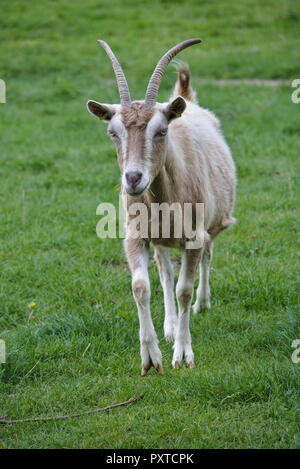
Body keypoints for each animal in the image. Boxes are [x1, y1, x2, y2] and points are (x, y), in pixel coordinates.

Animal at [86, 39, 237, 376]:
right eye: (113, 132)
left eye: (162, 131)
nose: (133, 179)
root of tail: (187, 100)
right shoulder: (136, 236)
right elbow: (142, 287)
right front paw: (151, 357)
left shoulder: (194, 235)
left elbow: (184, 290)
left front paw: (183, 354)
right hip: (161, 240)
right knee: (166, 270)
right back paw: (169, 325)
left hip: (211, 222)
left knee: (207, 255)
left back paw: (202, 304)